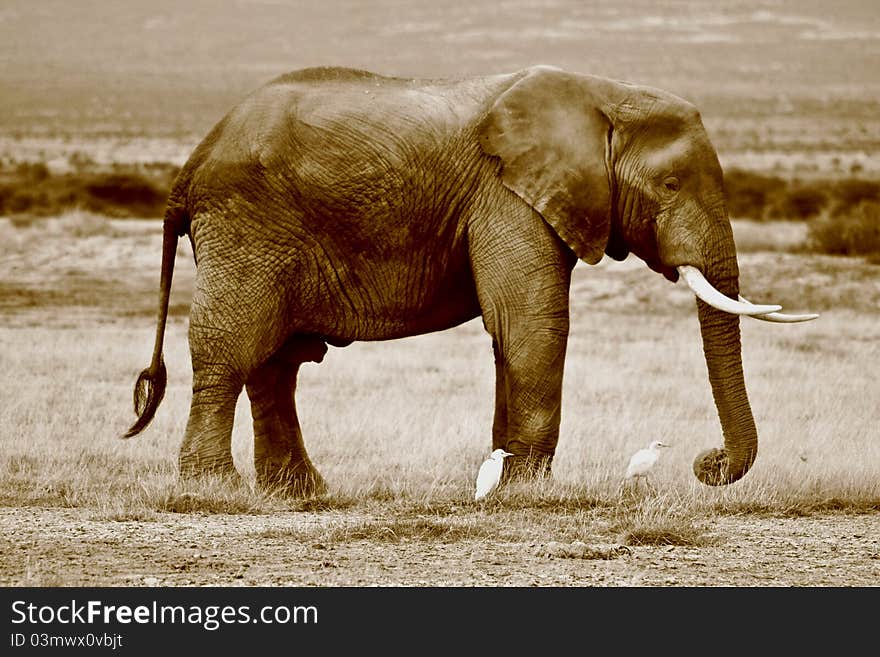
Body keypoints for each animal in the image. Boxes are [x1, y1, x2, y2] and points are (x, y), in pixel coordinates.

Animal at [124, 66, 820, 494]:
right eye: (671, 185)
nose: (707, 464)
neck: (603, 94)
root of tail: (193, 161)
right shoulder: (507, 197)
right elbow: (532, 322)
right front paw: (528, 491)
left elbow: (509, 334)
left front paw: (503, 478)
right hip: (246, 226)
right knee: (232, 350)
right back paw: (214, 489)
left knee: (277, 364)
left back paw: (301, 493)